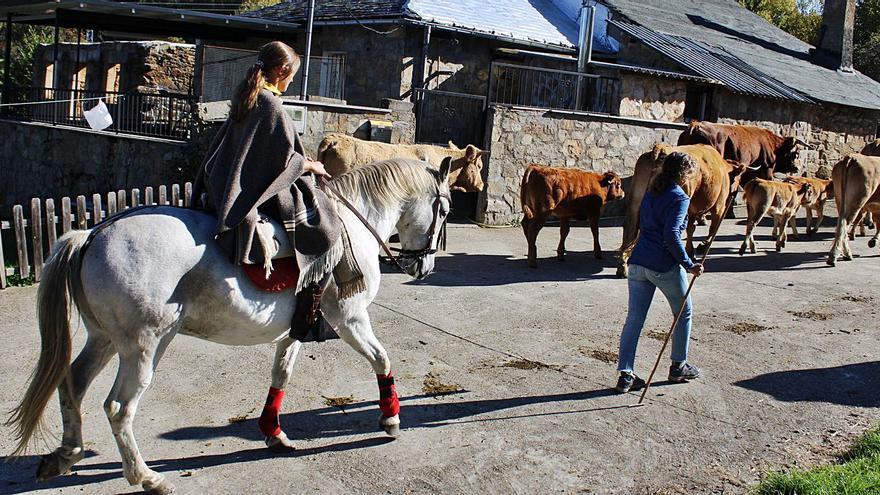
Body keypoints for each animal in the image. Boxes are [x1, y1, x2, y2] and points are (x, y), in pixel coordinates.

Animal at [6, 158, 452, 495]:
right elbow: (382, 360)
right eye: (444, 210)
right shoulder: (350, 318)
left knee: (72, 383)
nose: (424, 266)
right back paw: (145, 477)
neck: (350, 223)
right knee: (119, 407)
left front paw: (273, 432)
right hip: (144, 345)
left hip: (104, 339)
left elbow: (281, 374)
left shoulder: (296, 329)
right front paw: (390, 419)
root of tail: (93, 233)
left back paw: (67, 454)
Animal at [617, 143, 746, 278]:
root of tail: (661, 148)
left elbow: (691, 229)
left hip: (635, 202)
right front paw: (702, 246)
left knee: (630, 230)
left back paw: (622, 266)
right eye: (739, 179)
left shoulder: (692, 210)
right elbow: (712, 227)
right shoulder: (719, 205)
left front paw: (691, 251)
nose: (737, 192)